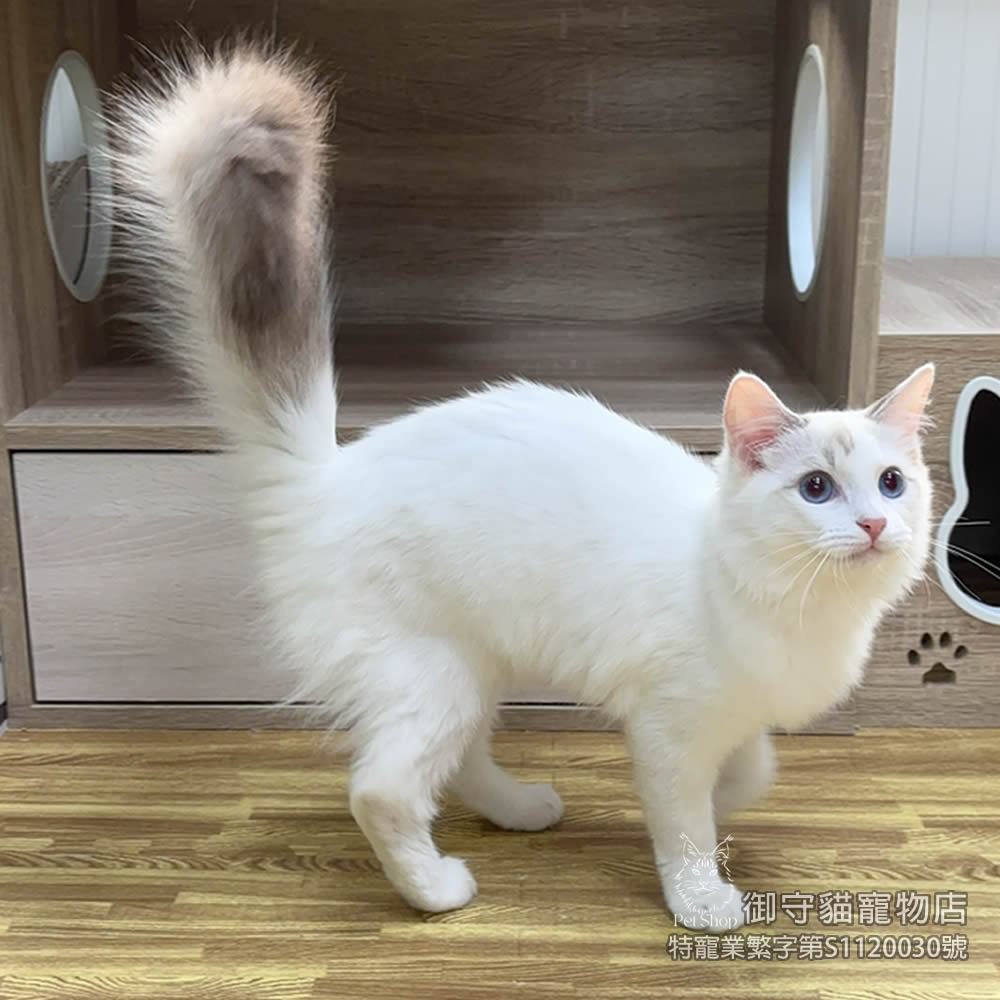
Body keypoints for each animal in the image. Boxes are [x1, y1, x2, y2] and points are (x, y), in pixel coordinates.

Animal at [110, 44, 934, 929]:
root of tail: (331, 470)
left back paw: (520, 809)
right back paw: (437, 888)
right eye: (817, 489)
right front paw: (700, 895)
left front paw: (730, 805)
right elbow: (683, 822)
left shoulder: (736, 712)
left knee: (458, 762)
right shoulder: (669, 726)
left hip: (474, 669)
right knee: (381, 791)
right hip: (431, 672)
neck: (797, 607)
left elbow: (754, 774)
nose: (874, 526)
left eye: (890, 484)